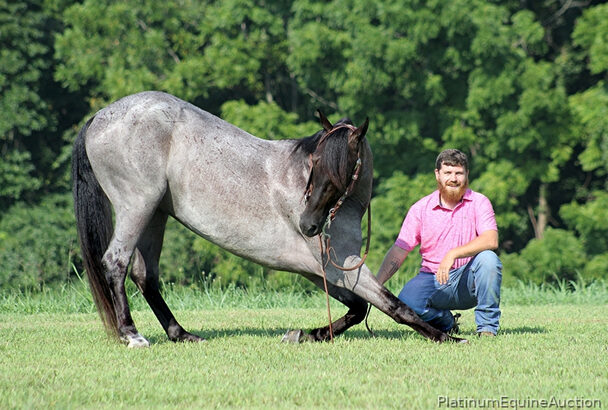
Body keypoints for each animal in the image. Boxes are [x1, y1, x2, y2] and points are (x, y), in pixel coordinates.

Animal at [72, 90, 460, 346]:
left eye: (340, 172)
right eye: (316, 165)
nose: (307, 225)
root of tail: (101, 116)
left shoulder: (319, 271)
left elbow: (358, 307)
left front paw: (307, 334)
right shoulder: (340, 268)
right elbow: (391, 306)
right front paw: (446, 337)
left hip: (155, 215)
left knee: (145, 275)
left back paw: (181, 334)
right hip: (137, 208)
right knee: (116, 263)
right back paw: (131, 334)